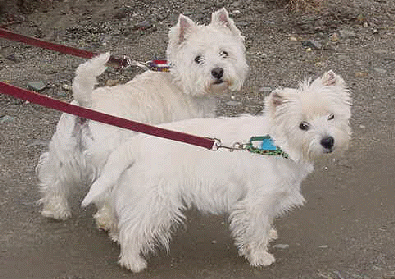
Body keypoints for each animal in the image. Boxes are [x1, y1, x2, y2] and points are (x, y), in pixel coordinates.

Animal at [37, 7, 248, 225]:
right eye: (198, 59)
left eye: (224, 53)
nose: (218, 71)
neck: (179, 82)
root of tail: (86, 105)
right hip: (108, 160)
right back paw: (110, 224)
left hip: (64, 150)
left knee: (53, 178)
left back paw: (55, 210)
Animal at [83, 70, 352, 274]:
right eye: (303, 125)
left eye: (331, 115)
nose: (328, 141)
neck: (276, 145)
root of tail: (136, 144)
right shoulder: (256, 201)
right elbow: (255, 229)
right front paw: (259, 256)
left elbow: (263, 225)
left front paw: (268, 236)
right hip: (155, 200)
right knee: (133, 229)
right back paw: (133, 261)